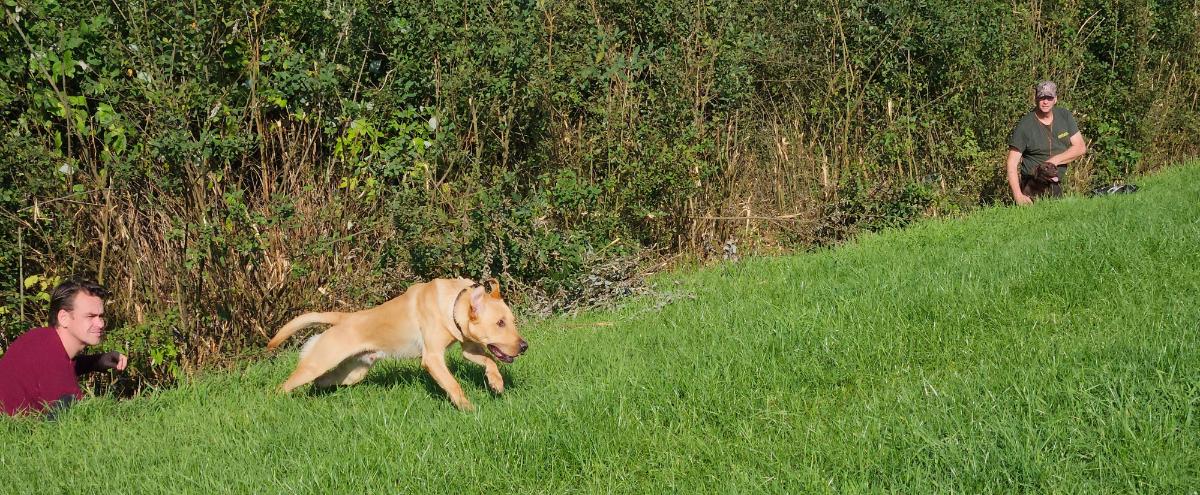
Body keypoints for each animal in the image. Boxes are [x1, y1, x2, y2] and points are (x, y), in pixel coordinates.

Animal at [267, 278, 530, 410]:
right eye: (499, 323)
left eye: (512, 321)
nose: (524, 346)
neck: (453, 302)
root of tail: (344, 318)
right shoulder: (432, 359)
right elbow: (453, 385)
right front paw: (467, 408)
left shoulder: (469, 347)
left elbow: (489, 361)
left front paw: (496, 382)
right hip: (317, 363)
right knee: (283, 387)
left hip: (353, 372)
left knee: (322, 381)